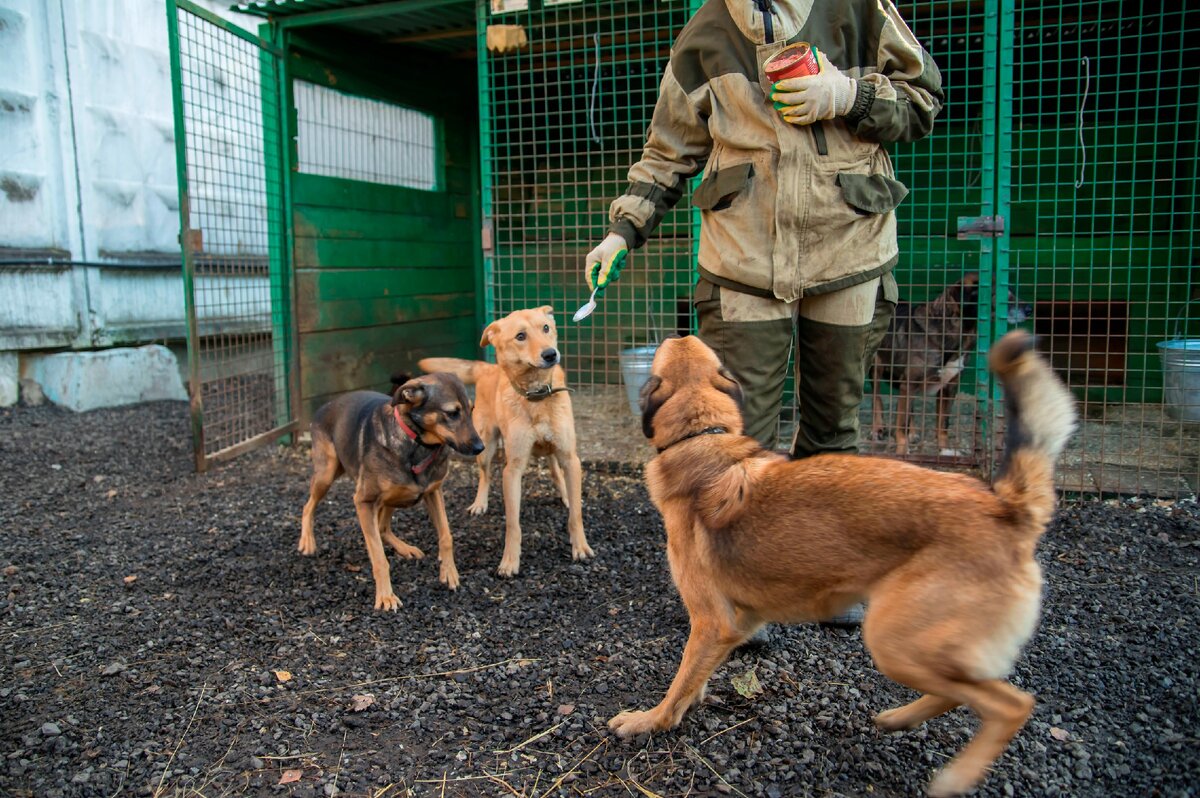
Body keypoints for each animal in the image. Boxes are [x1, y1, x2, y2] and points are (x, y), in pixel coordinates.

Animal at [298, 372, 482, 609]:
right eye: (452, 413)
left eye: (472, 409)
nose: (480, 448)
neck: (416, 444)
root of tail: (326, 405)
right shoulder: (364, 501)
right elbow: (379, 558)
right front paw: (385, 596)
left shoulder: (434, 492)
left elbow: (446, 536)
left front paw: (449, 572)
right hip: (326, 474)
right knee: (307, 506)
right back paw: (307, 541)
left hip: (392, 496)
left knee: (383, 527)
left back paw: (404, 547)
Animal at [417, 303, 595, 573]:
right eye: (520, 336)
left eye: (546, 328)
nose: (551, 354)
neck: (536, 396)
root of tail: (488, 368)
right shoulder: (513, 469)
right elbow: (513, 523)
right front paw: (510, 560)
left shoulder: (569, 457)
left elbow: (575, 514)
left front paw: (581, 546)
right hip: (485, 446)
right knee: (485, 475)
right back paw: (480, 503)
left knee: (556, 471)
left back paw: (565, 494)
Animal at [609, 328, 1080, 796]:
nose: (681, 329)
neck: (703, 436)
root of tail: (1005, 507)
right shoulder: (736, 622)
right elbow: (696, 673)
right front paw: (692, 699)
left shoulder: (711, 620)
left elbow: (679, 680)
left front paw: (651, 720)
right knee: (961, 691)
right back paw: (899, 719)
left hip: (893, 640)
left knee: (1010, 704)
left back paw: (957, 775)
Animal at [873, 268, 1032, 451]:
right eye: (999, 294)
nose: (1030, 309)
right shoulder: (910, 383)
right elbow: (901, 424)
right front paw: (902, 451)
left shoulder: (948, 387)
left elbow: (943, 424)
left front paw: (944, 450)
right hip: (876, 367)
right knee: (877, 397)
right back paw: (877, 429)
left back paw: (912, 433)